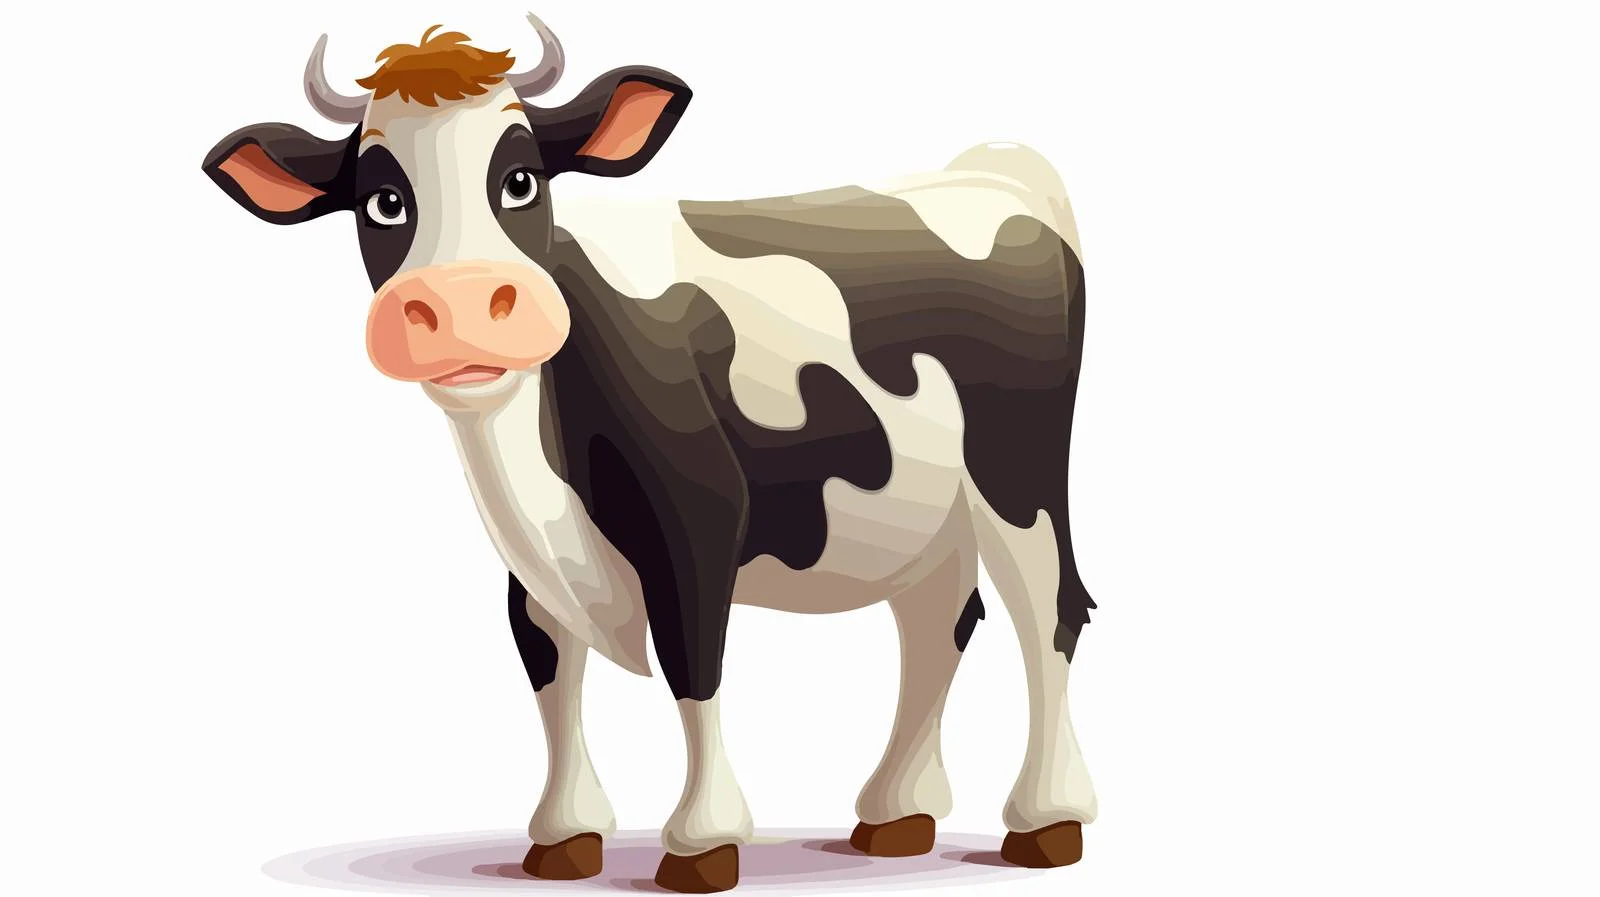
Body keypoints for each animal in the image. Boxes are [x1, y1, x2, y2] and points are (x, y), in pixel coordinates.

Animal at [202, 14, 1097, 893]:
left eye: (522, 179)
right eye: (383, 200)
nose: (462, 303)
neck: (538, 479)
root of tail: (992, 170)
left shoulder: (698, 521)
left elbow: (692, 661)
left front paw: (702, 842)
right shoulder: (533, 567)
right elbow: (550, 669)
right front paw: (565, 834)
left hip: (1017, 477)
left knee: (1048, 611)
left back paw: (1045, 819)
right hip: (925, 512)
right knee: (941, 618)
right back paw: (896, 814)